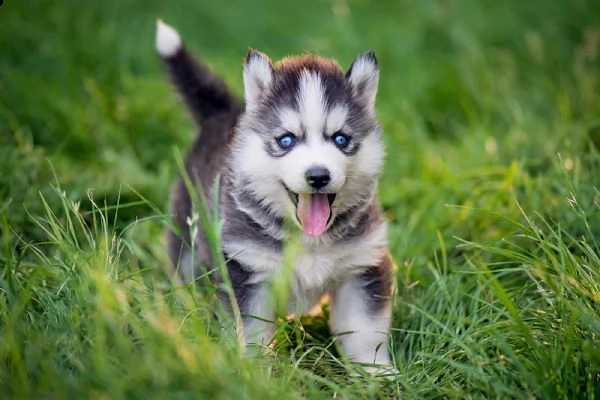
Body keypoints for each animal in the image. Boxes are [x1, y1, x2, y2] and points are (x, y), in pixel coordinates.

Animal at [156, 20, 394, 370]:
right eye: (286, 140)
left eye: (340, 139)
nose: (318, 176)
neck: (309, 239)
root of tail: (226, 113)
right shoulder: (245, 270)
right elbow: (250, 331)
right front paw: (251, 371)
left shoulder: (362, 266)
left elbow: (365, 333)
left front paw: (377, 374)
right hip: (187, 235)